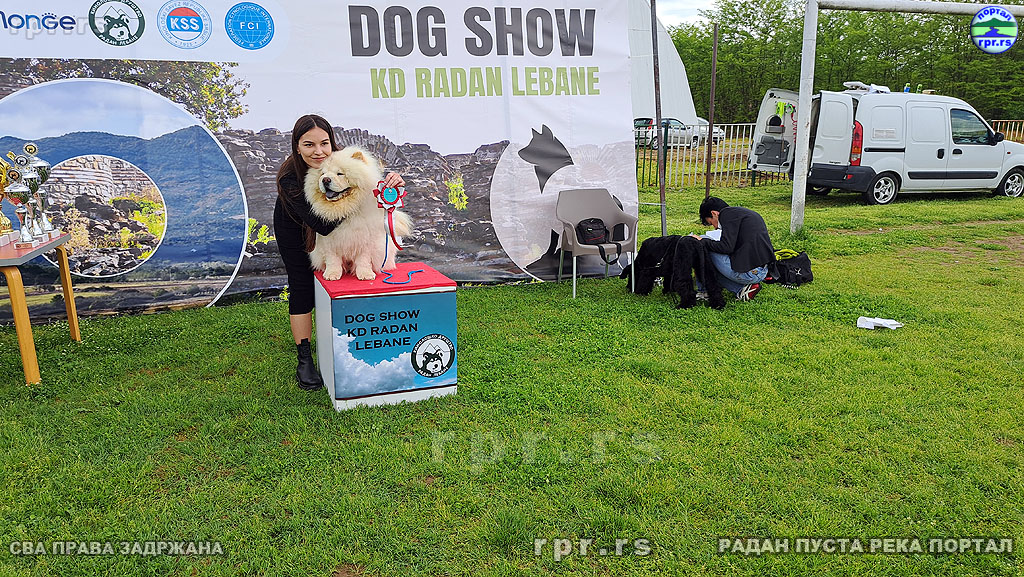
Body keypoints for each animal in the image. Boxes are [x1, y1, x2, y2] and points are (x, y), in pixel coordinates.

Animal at [305, 146, 412, 281]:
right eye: (323, 174)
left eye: (340, 174)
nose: (325, 180)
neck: (344, 208)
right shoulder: (329, 242)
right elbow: (333, 260)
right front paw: (332, 274)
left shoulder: (365, 239)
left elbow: (363, 260)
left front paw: (365, 275)